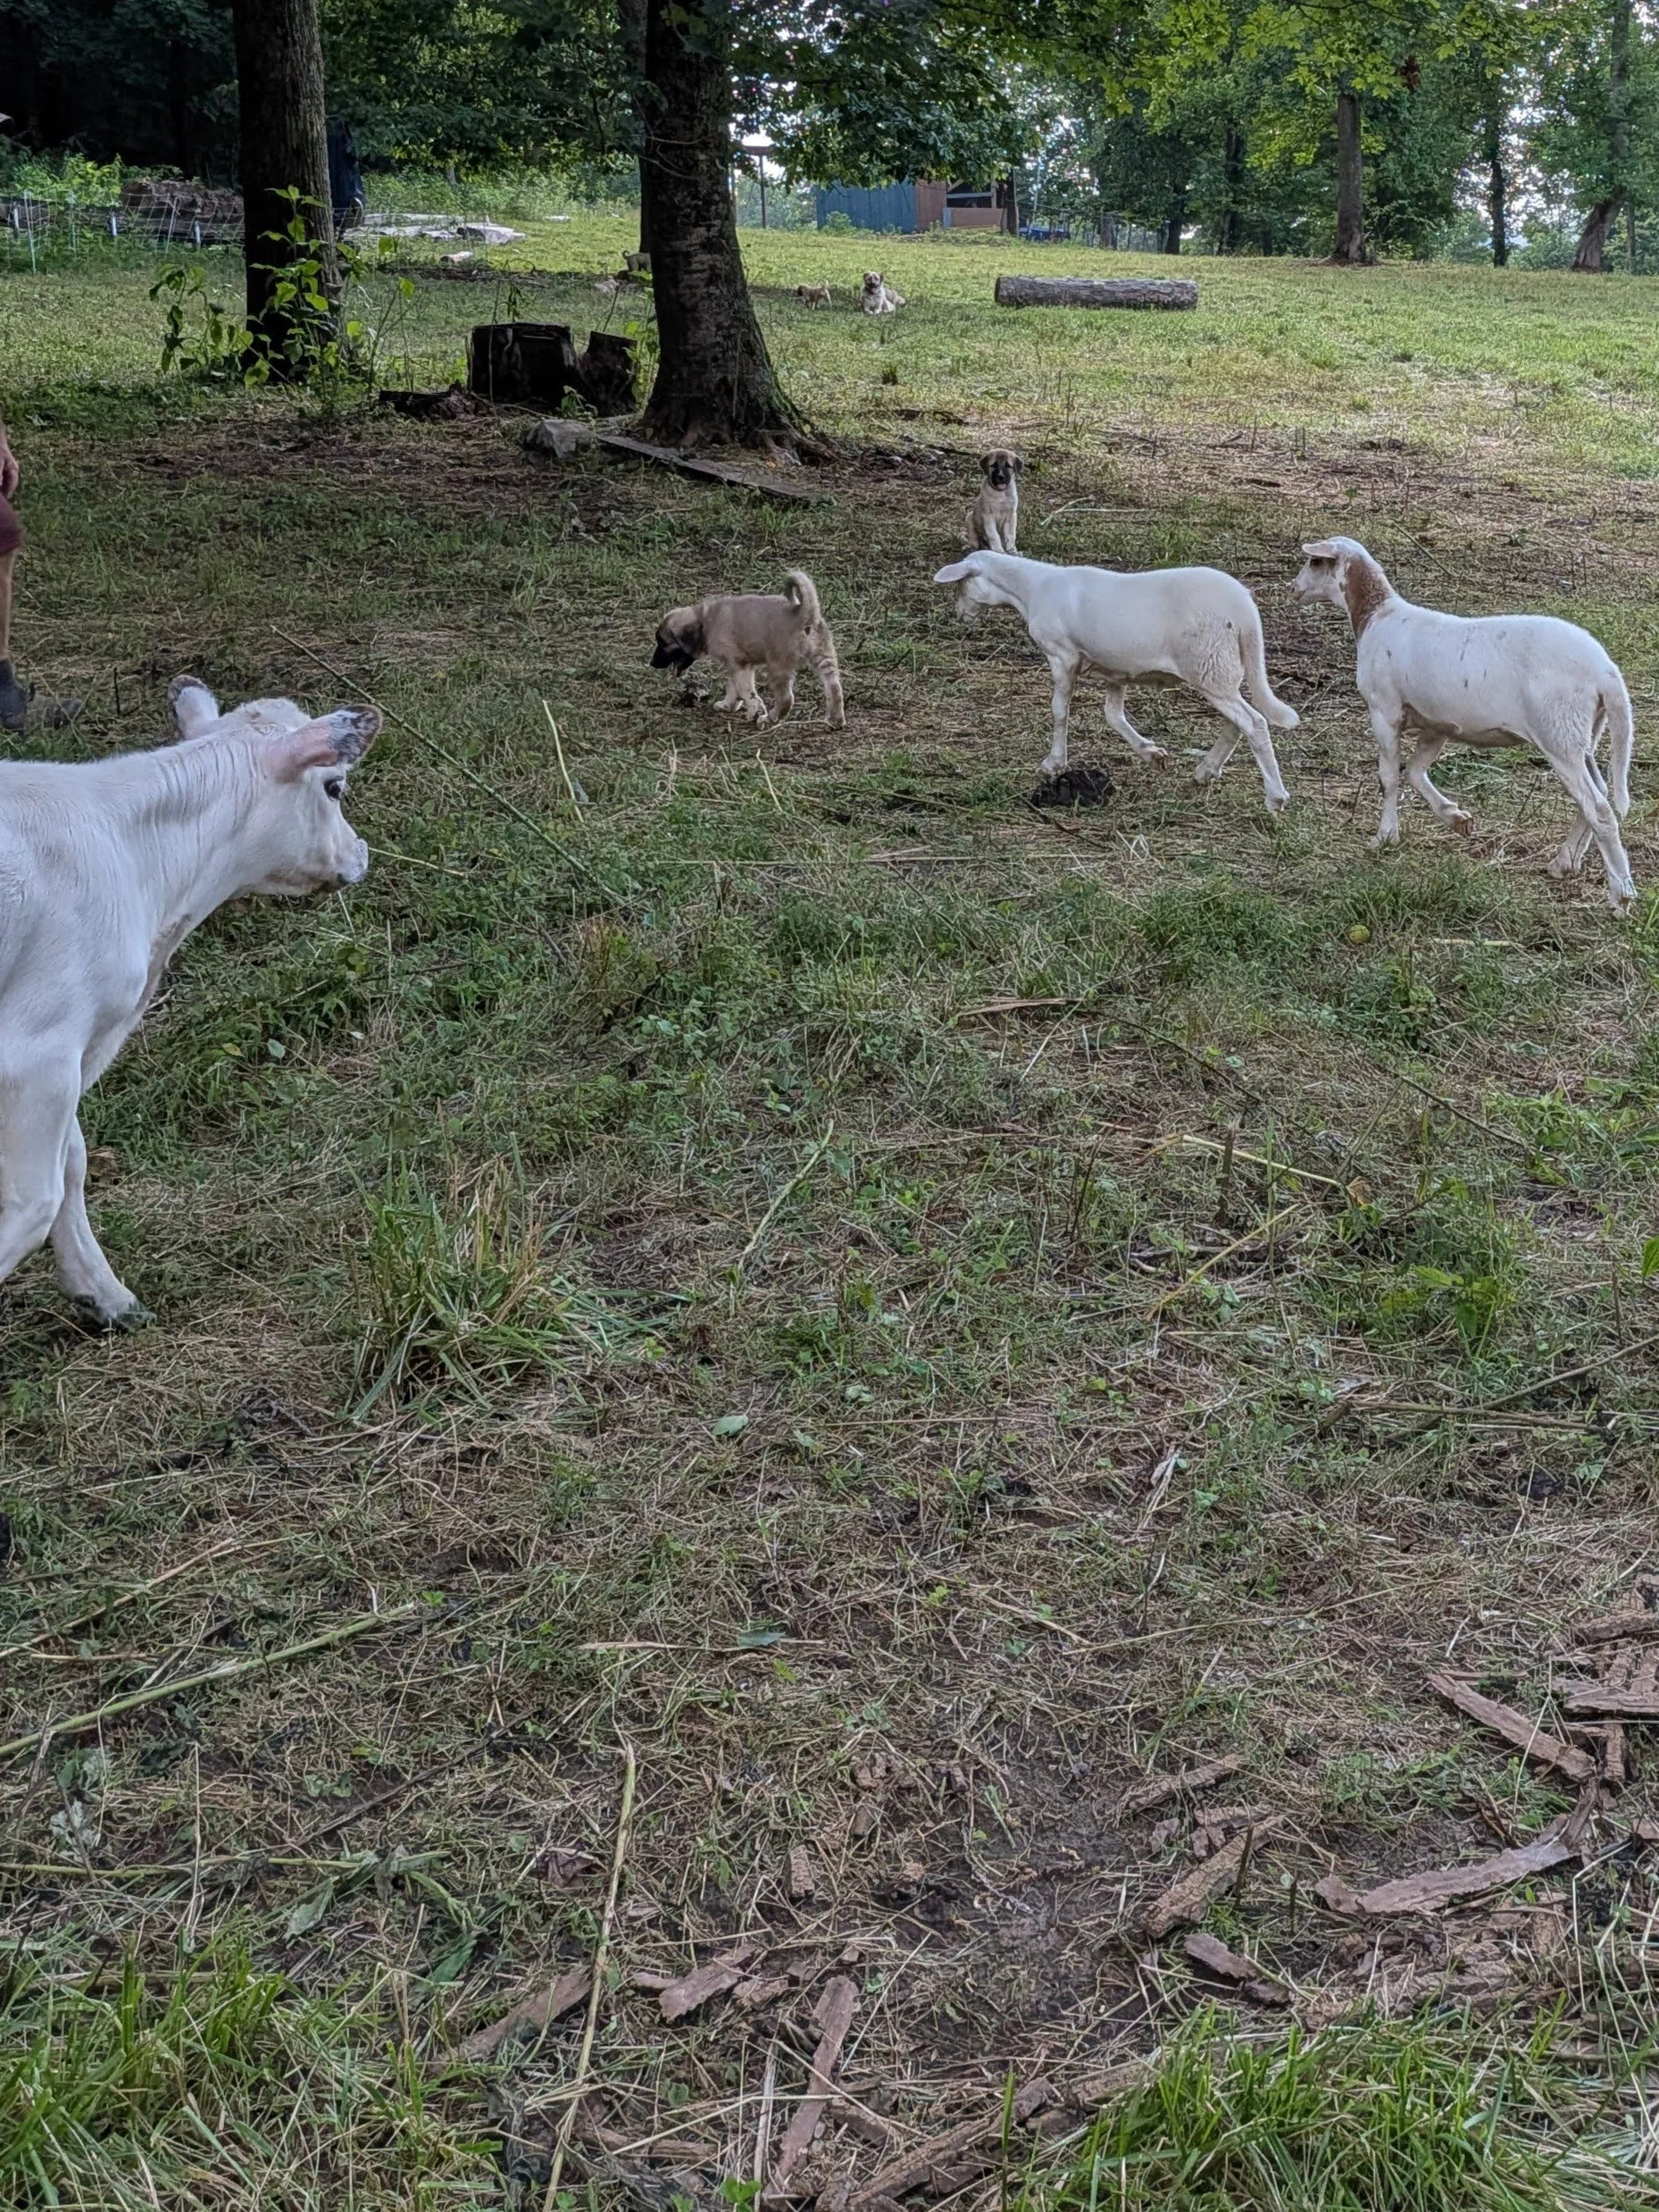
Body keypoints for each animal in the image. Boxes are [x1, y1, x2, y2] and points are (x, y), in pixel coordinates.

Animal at [933, 550, 1299, 810]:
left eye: (961, 584)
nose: (960, 616)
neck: (1031, 588)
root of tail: (1246, 612)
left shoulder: (1062, 656)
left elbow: (1059, 711)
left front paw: (1053, 763)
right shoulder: (1117, 668)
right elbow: (1113, 715)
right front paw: (1152, 753)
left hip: (1209, 666)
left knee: (1254, 723)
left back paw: (1275, 797)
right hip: (1219, 672)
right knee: (1238, 723)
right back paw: (1205, 772)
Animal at [1293, 536, 1637, 910]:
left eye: (1314, 562)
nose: (1293, 588)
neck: (1375, 616)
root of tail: (1605, 671)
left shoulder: (1383, 710)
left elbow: (1389, 778)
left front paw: (1385, 836)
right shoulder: (1438, 723)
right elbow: (1415, 771)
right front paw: (1456, 818)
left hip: (1559, 733)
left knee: (1599, 808)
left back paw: (1621, 893)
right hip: (1581, 735)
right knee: (1598, 797)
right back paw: (1565, 862)